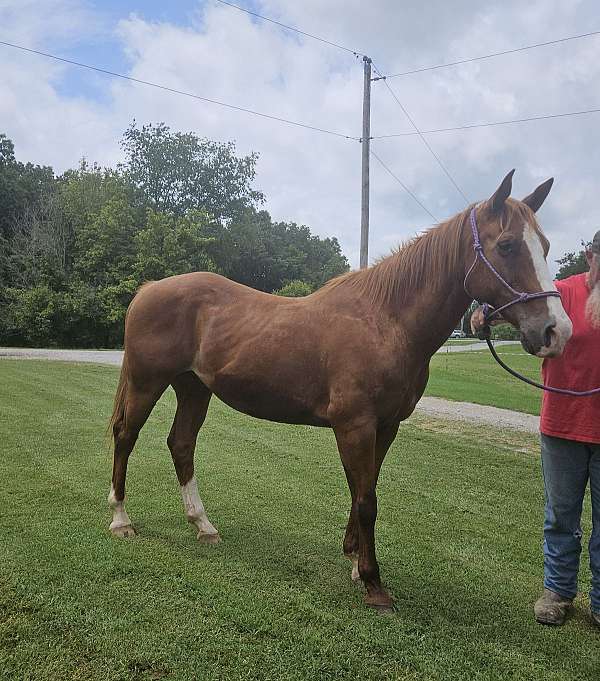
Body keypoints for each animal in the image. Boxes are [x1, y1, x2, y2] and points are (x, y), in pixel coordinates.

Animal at [108, 171, 572, 612]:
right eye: (508, 245)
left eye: (546, 245)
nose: (556, 331)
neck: (385, 321)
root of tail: (149, 289)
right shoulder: (355, 426)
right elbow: (366, 499)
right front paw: (373, 584)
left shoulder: (385, 427)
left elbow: (363, 491)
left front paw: (353, 560)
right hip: (147, 382)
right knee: (126, 437)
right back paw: (121, 520)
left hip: (193, 388)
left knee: (181, 444)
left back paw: (203, 525)